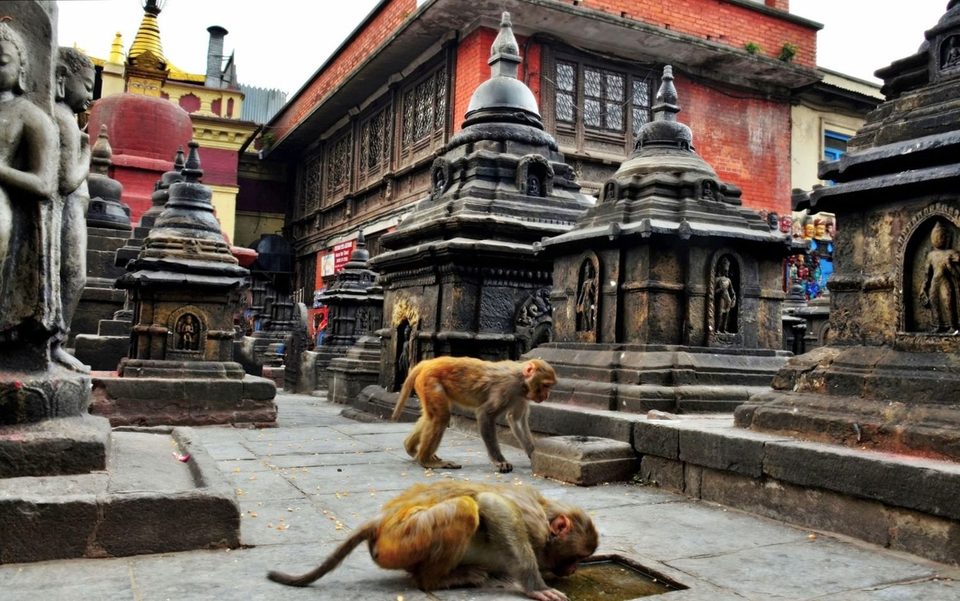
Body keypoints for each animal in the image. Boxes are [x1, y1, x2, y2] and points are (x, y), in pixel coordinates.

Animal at [267, 480, 598, 601]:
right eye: (579, 557)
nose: (573, 570)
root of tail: (381, 520)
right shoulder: (534, 524)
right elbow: (494, 506)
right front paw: (535, 586)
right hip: (404, 538)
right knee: (465, 508)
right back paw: (436, 581)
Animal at [390, 356, 557, 473]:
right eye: (546, 385)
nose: (547, 395)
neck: (521, 380)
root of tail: (429, 363)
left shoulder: (522, 396)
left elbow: (516, 420)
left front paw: (532, 453)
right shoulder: (506, 388)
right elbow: (485, 414)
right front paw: (499, 461)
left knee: (430, 416)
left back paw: (411, 448)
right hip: (430, 382)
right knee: (441, 417)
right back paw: (426, 460)